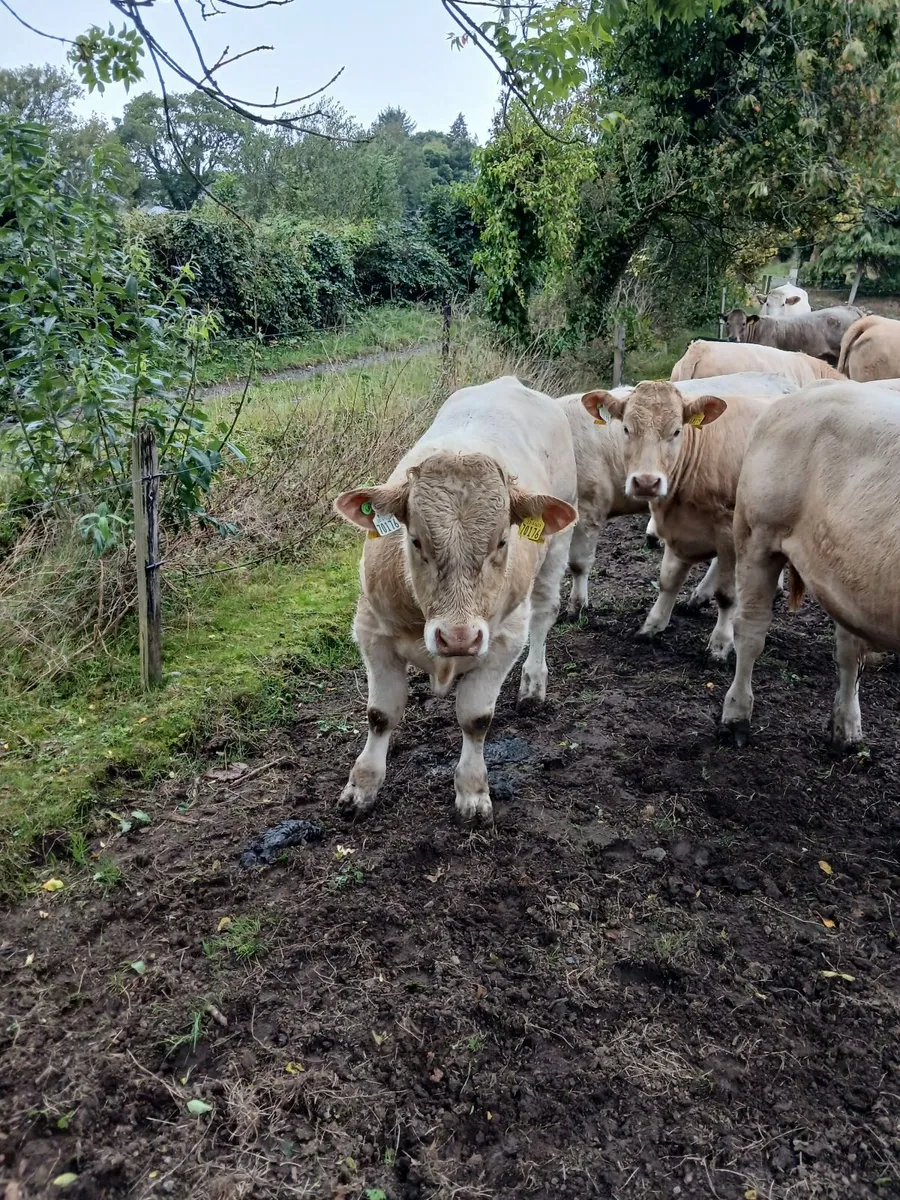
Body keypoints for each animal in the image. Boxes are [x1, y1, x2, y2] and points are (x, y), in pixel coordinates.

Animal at [333, 377, 578, 825]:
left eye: (502, 541)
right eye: (415, 540)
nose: (459, 638)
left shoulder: (503, 642)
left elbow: (476, 719)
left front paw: (472, 792)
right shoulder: (372, 630)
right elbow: (380, 714)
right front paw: (361, 787)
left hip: (557, 546)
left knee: (544, 612)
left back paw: (534, 682)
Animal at [580, 381, 775, 659]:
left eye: (676, 431)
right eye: (626, 428)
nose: (647, 482)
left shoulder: (729, 529)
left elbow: (727, 594)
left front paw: (721, 643)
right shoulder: (676, 529)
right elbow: (668, 580)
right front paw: (652, 625)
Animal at [721, 381, 900, 747]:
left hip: (849, 578)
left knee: (849, 649)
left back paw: (846, 726)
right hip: (756, 535)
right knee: (751, 630)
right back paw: (736, 715)